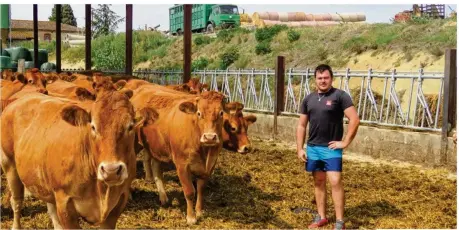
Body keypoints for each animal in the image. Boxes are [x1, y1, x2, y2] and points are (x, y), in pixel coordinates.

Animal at [0, 82, 158, 228]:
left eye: (130, 126)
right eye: (93, 126)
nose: (111, 171)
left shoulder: (118, 203)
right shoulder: (64, 203)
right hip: (9, 164)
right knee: (16, 201)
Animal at [131, 86, 228, 225]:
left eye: (221, 113)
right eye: (199, 113)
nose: (210, 137)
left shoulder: (210, 165)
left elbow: (201, 189)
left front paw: (199, 212)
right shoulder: (182, 165)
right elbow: (189, 191)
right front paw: (191, 217)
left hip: (157, 147)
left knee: (156, 169)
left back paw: (164, 198)